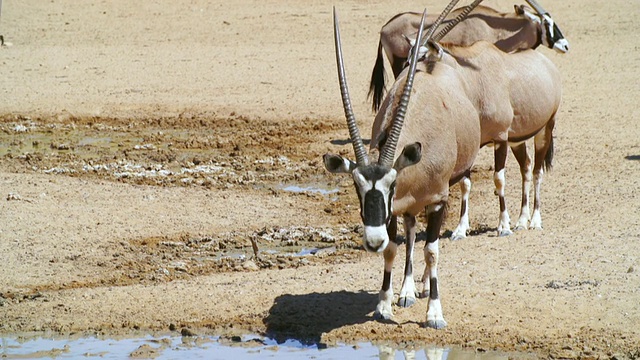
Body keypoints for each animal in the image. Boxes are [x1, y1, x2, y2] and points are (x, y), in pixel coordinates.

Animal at [324, 4, 480, 328]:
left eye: (391, 184)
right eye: (356, 186)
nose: (372, 241)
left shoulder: (437, 200)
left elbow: (432, 251)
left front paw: (434, 313)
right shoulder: (394, 210)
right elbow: (393, 249)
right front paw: (384, 305)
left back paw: (423, 287)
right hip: (409, 209)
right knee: (409, 233)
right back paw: (407, 290)